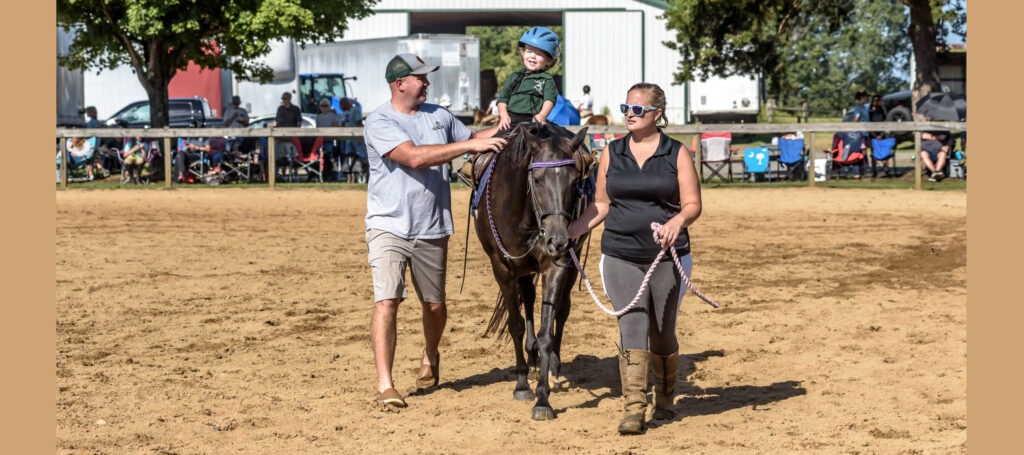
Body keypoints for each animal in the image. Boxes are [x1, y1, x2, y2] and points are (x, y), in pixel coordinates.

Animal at [475, 122, 591, 421]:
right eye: (536, 179)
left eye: (575, 179)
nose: (559, 240)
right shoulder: (502, 268)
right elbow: (516, 325)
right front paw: (522, 384)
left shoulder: (555, 265)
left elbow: (547, 332)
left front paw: (542, 398)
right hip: (523, 270)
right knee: (527, 299)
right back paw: (531, 357)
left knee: (562, 310)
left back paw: (553, 369)